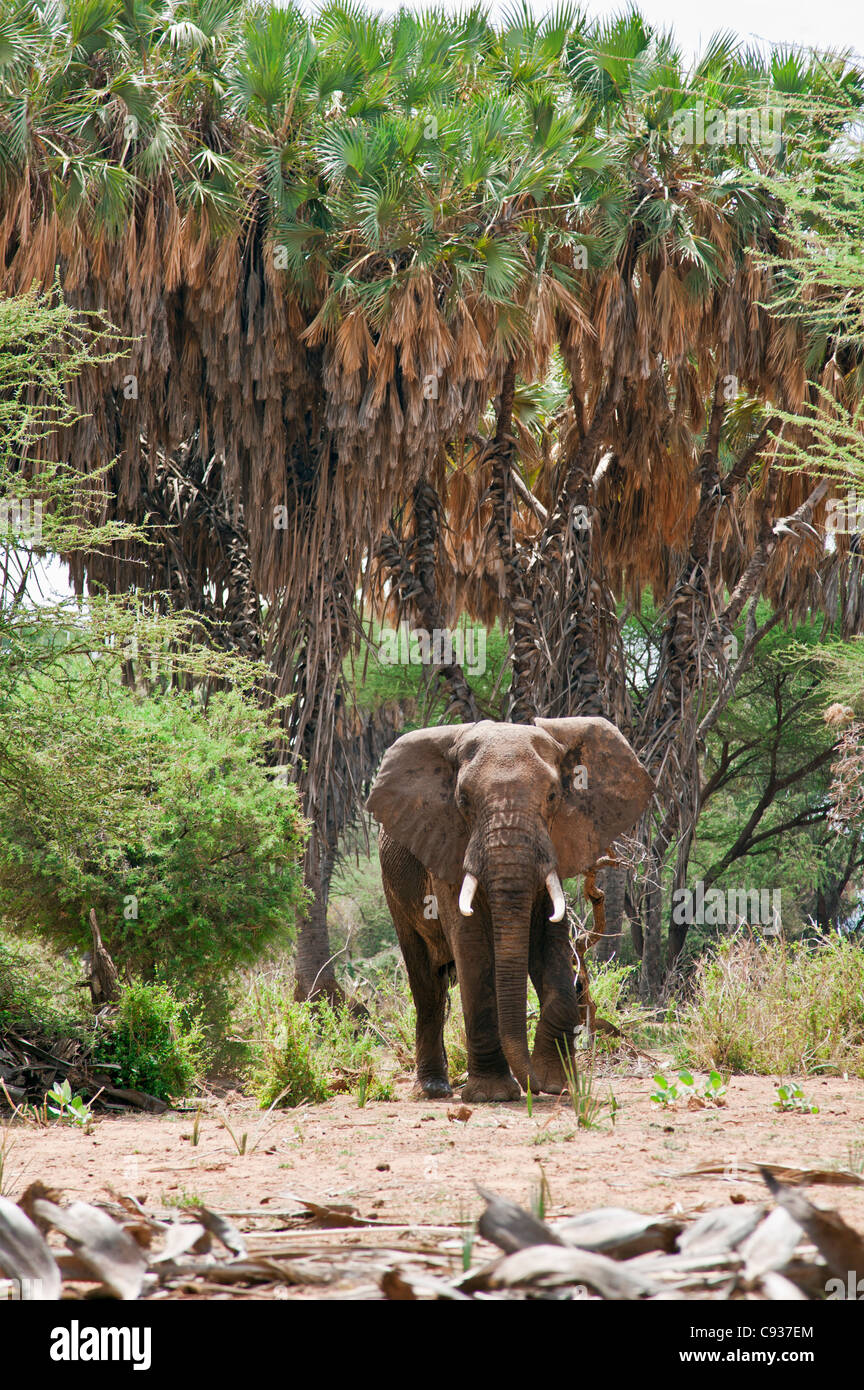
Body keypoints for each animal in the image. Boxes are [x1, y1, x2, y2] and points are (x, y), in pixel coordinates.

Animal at [366, 717, 654, 1102]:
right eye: (462, 800)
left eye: (553, 796)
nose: (536, 1085)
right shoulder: (447, 845)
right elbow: (472, 948)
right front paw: (493, 1095)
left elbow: (550, 942)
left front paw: (557, 1083)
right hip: (394, 887)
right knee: (427, 985)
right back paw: (434, 1089)